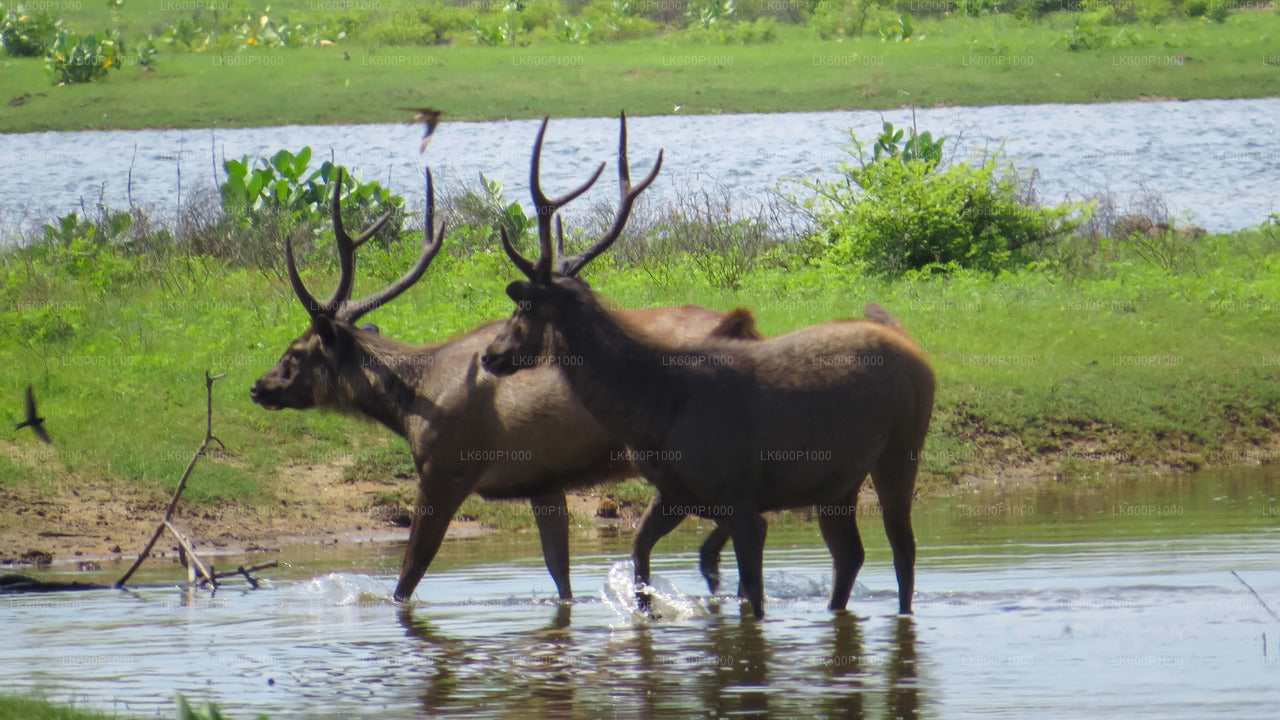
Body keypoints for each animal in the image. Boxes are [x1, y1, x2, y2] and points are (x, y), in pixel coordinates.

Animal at [253, 166, 762, 599]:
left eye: (295, 351)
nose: (259, 386)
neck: (414, 404)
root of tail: (743, 326)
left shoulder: (446, 470)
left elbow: (409, 575)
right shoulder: (543, 481)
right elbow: (560, 578)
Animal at [483, 113, 936, 617]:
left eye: (523, 308)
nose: (490, 354)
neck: (654, 410)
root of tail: (912, 344)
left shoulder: (741, 495)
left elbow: (752, 596)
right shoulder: (676, 493)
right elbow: (641, 555)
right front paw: (647, 611)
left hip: (902, 445)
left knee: (902, 549)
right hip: (838, 482)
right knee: (851, 555)